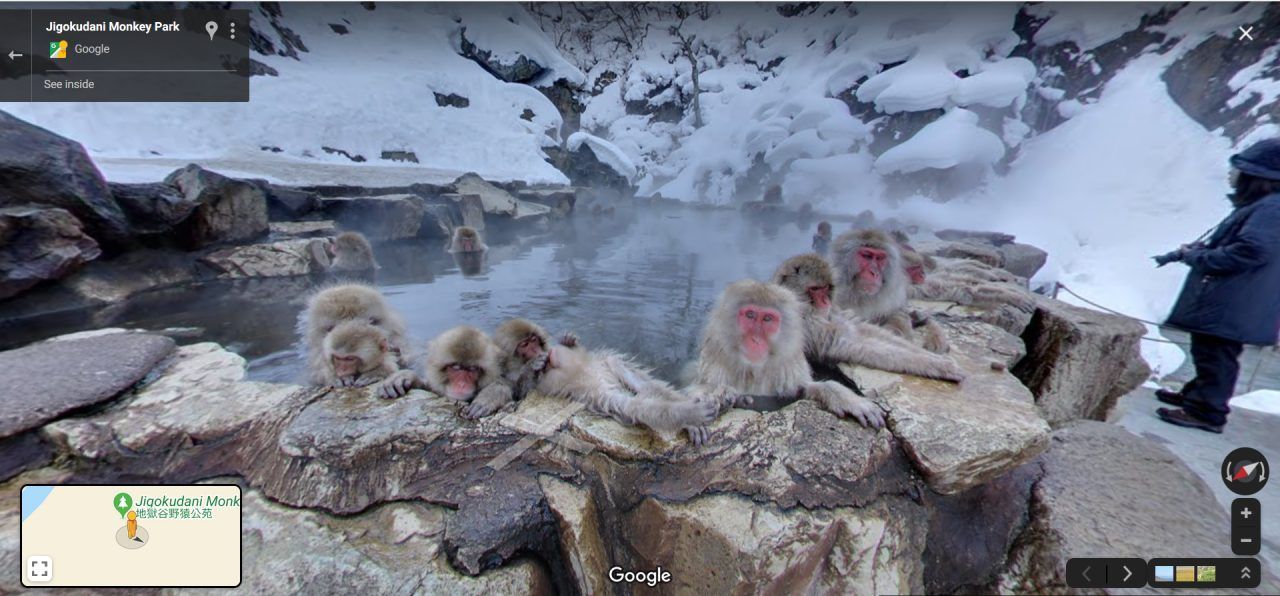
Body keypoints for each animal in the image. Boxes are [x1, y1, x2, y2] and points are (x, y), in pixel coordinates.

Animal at [691, 278, 890, 427]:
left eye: (768, 318)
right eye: (750, 315)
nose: (755, 340)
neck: (753, 370)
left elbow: (802, 390)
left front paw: (847, 399)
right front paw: (719, 397)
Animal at [762, 254, 962, 381]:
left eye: (826, 288)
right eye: (815, 289)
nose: (825, 301)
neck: (807, 308)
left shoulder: (831, 312)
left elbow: (862, 329)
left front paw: (931, 356)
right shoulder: (805, 325)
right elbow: (854, 345)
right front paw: (937, 366)